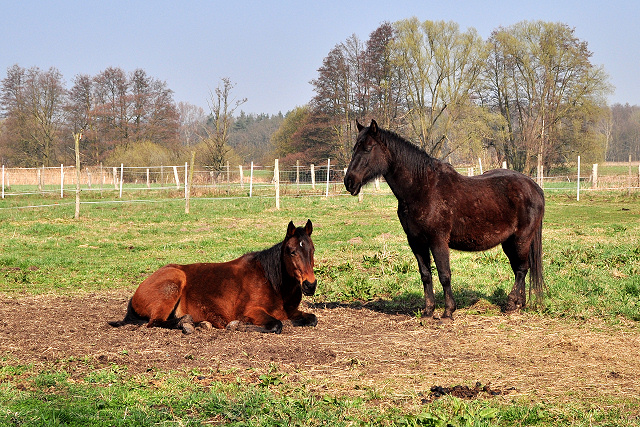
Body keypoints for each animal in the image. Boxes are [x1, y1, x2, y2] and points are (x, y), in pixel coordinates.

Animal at [109, 220, 318, 334]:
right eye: (292, 252)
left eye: (312, 250)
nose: (310, 285)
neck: (273, 283)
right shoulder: (251, 311)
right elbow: (276, 324)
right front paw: (236, 326)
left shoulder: (291, 311)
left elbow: (312, 318)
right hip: (174, 281)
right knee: (155, 322)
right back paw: (187, 324)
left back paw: (199, 323)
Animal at [344, 120, 544, 320]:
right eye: (354, 148)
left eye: (368, 148)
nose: (349, 182)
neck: (422, 188)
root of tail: (534, 187)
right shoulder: (416, 241)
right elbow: (426, 275)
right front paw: (428, 311)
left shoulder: (438, 240)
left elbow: (444, 274)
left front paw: (448, 311)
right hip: (509, 242)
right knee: (519, 268)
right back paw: (519, 303)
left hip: (521, 239)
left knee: (522, 269)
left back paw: (511, 303)